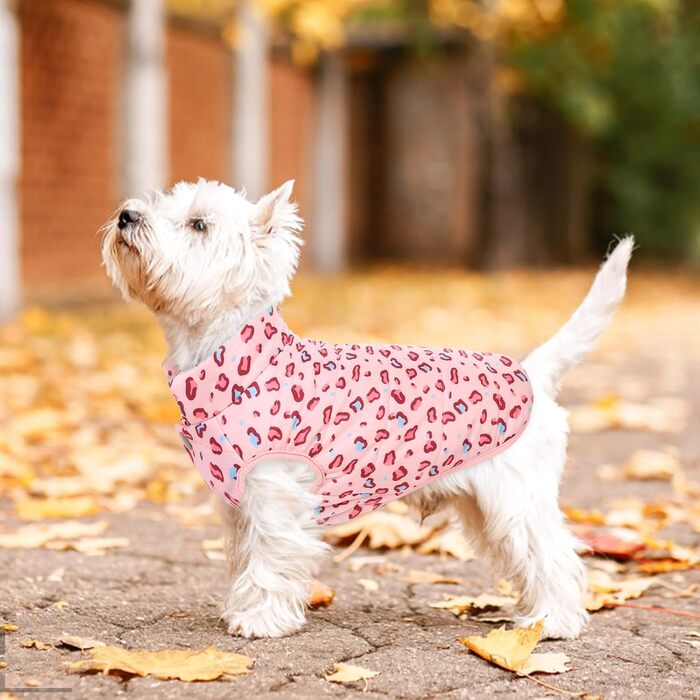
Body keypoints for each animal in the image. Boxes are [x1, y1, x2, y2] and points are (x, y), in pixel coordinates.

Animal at [102, 179, 636, 640]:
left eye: (198, 224)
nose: (126, 215)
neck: (229, 361)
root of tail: (532, 373)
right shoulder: (237, 506)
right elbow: (243, 558)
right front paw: (240, 607)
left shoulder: (274, 495)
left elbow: (271, 558)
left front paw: (260, 620)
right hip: (483, 507)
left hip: (515, 498)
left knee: (555, 556)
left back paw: (553, 622)